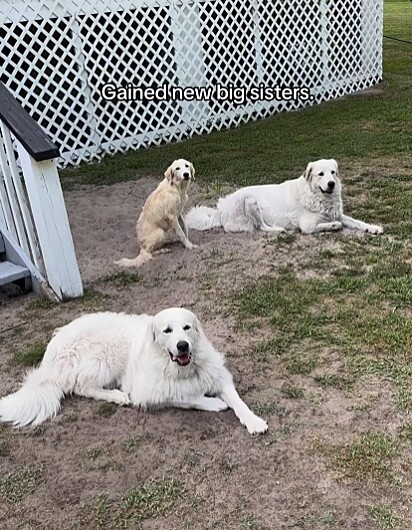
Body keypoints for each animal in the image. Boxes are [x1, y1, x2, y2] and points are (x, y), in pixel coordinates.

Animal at [0, 306, 268, 434]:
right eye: (167, 330)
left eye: (187, 327)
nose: (183, 345)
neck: (182, 368)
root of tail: (51, 351)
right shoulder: (148, 393)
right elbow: (188, 397)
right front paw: (214, 404)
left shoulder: (219, 376)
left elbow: (238, 402)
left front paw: (254, 422)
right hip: (106, 357)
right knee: (83, 387)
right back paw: (116, 396)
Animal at [186, 158, 384, 234]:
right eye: (320, 174)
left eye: (333, 173)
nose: (331, 184)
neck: (316, 196)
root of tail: (220, 209)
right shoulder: (307, 225)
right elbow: (325, 225)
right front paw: (334, 225)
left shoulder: (339, 214)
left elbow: (357, 222)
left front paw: (373, 228)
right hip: (250, 200)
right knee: (260, 226)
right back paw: (278, 229)